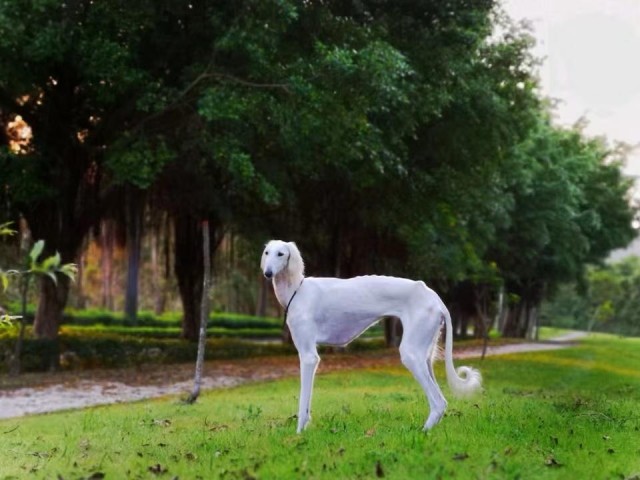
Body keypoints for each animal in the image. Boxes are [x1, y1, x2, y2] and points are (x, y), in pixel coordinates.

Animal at [260, 239, 480, 432]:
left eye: (281, 254)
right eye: (267, 252)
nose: (267, 273)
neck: (297, 290)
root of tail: (434, 297)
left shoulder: (308, 356)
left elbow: (303, 401)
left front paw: (299, 434)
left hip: (411, 354)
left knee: (438, 402)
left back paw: (422, 432)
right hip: (425, 355)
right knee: (441, 400)